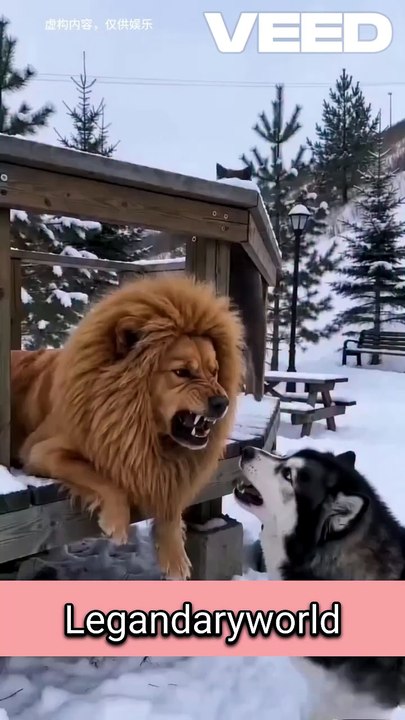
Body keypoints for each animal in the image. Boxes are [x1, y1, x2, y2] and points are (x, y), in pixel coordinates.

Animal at [11, 275, 244, 579]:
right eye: (182, 372)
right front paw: (117, 523)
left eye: (214, 371)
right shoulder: (41, 449)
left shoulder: (165, 470)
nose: (222, 402)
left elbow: (170, 504)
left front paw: (174, 556)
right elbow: (102, 478)